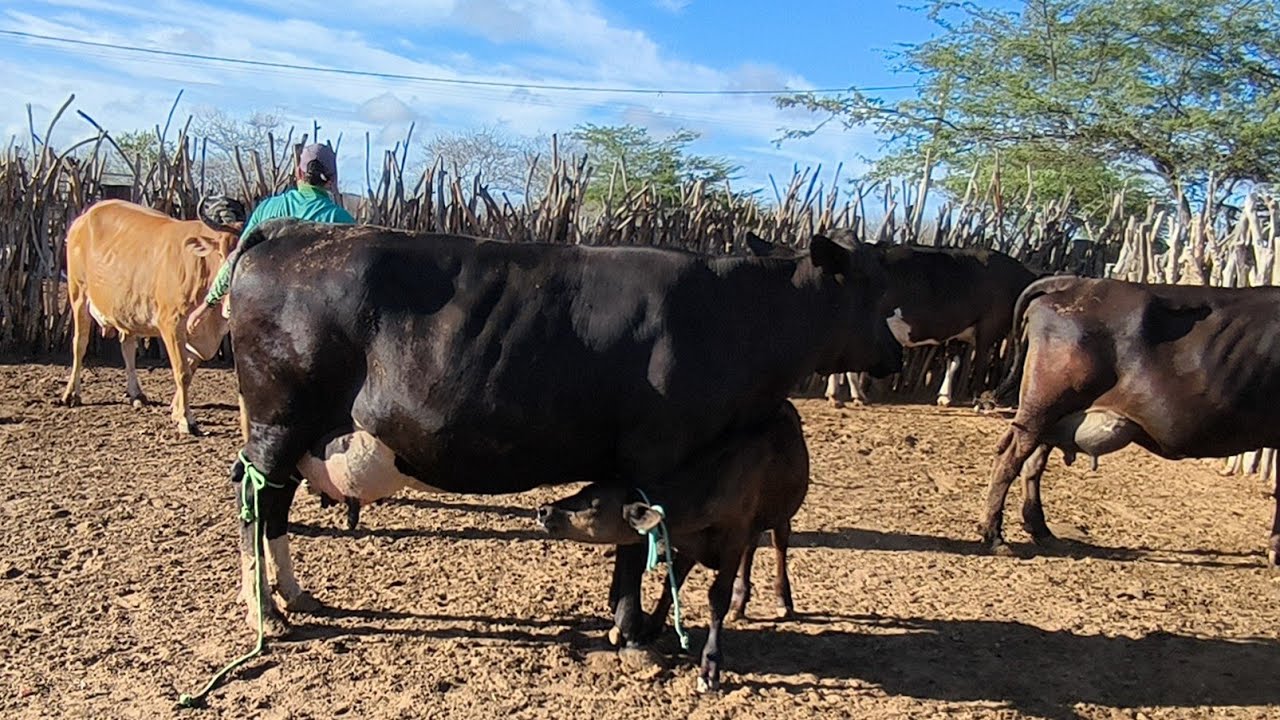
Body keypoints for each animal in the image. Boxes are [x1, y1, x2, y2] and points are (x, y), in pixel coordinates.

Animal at [59, 198, 244, 435]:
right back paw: (72, 394)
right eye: (221, 254)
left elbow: (191, 368)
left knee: (127, 345)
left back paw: (136, 393)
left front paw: (176, 410)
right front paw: (186, 420)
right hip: (78, 295)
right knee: (79, 344)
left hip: (125, 308)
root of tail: (86, 215)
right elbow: (182, 372)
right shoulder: (171, 324)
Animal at [536, 400, 809, 692]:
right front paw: (651, 628)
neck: (712, 488)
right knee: (753, 548)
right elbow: (671, 583)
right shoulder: (692, 542)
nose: (544, 510)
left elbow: (717, 596)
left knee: (780, 541)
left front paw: (709, 667)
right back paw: (740, 604)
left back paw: (782, 599)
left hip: (781, 514)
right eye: (581, 490)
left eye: (594, 505)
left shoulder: (733, 538)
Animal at [822, 240, 1038, 408]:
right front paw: (980, 402)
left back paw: (845, 395)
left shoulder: (956, 330)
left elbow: (954, 361)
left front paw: (944, 397)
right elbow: (980, 364)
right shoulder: (988, 328)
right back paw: (846, 396)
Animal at [979, 275, 1280, 566]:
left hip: (1053, 416)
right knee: (1009, 459)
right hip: (1042, 407)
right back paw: (994, 536)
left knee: (1032, 464)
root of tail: (1078, 282)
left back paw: (1041, 531)